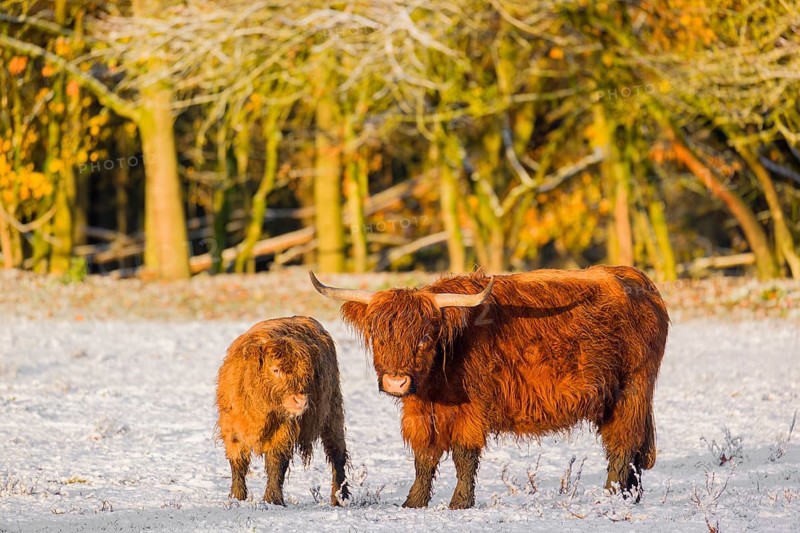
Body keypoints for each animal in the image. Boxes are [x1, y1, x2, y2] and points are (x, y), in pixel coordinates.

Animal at [215, 316, 349, 506]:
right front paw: (237, 497)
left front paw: (273, 499)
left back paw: (339, 497)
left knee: (337, 453)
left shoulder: (284, 430)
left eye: (306, 374)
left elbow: (276, 464)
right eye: (275, 369)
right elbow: (238, 464)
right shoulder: (231, 428)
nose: (300, 401)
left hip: (333, 412)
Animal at [310, 266, 668, 509]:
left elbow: (464, 455)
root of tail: (637, 280)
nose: (396, 381)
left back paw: (611, 496)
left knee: (623, 444)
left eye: (425, 337)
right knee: (629, 449)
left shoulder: (471, 409)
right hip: (611, 398)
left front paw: (459, 502)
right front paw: (414, 502)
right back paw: (631, 495)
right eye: (379, 336)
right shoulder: (420, 412)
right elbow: (424, 457)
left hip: (633, 390)